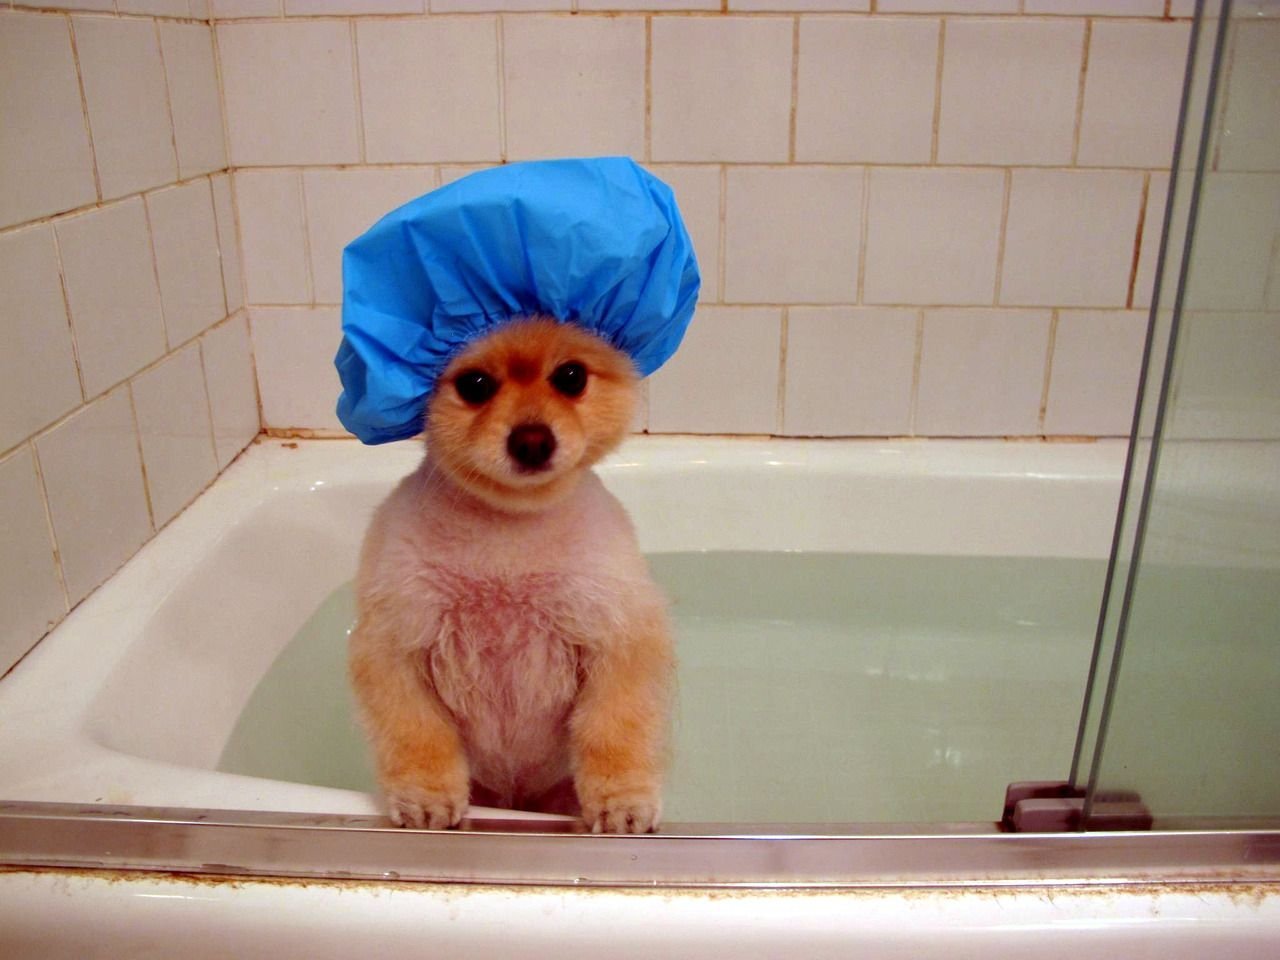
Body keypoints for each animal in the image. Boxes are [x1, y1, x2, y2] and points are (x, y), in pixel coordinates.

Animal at [349, 317, 673, 833]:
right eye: (475, 384)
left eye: (571, 377)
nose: (533, 440)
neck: (507, 536)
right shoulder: (394, 644)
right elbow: (418, 733)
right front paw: (425, 797)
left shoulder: (617, 636)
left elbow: (614, 729)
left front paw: (622, 800)